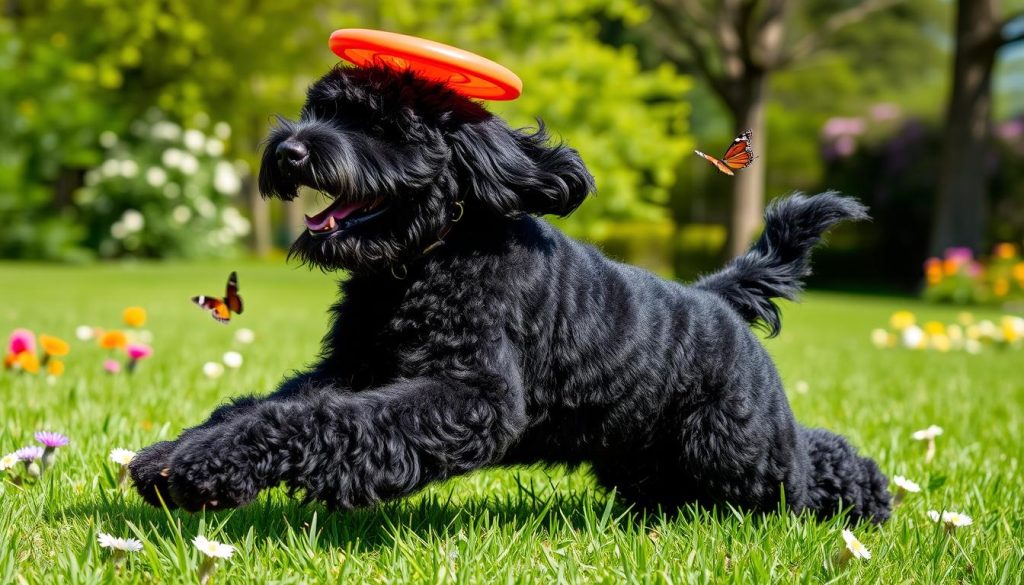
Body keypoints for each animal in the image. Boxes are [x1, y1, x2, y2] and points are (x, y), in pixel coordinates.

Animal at [132, 65, 892, 524]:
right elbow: (268, 406)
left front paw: (199, 466)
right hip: (656, 453)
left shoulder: (472, 396)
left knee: (812, 464)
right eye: (318, 108)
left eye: (381, 124)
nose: (289, 150)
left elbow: (320, 421)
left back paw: (876, 499)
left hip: (741, 448)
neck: (427, 261)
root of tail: (717, 299)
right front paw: (177, 456)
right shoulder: (351, 369)